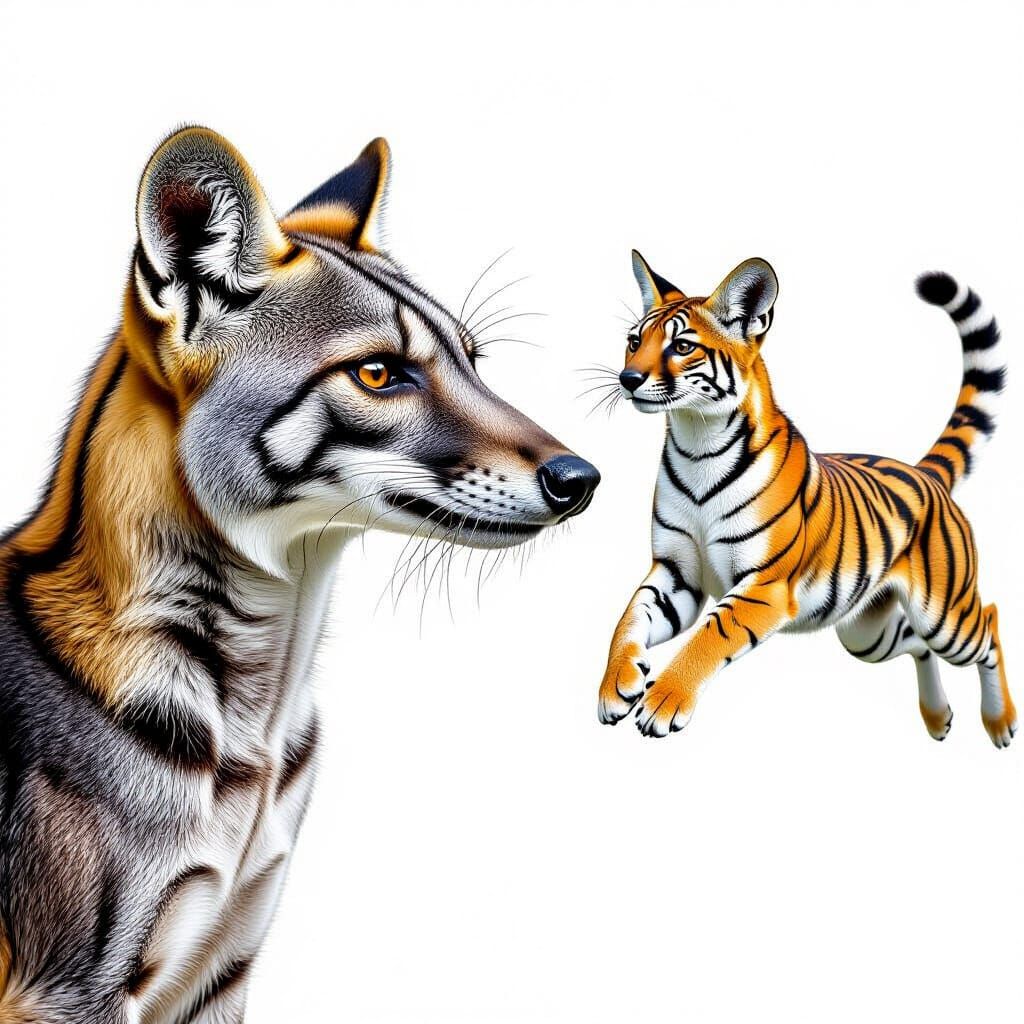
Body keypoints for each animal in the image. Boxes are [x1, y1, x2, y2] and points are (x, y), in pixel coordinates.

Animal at [0, 127, 599, 1023]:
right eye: (379, 373)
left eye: (473, 360)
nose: (581, 479)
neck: (256, 727)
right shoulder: (71, 990)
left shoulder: (223, 964)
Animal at [597, 251, 1015, 748]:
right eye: (633, 341)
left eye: (681, 347)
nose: (628, 377)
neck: (695, 441)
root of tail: (924, 472)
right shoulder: (676, 574)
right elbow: (629, 619)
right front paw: (615, 685)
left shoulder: (764, 586)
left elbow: (711, 635)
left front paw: (665, 700)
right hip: (868, 634)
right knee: (917, 644)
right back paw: (937, 717)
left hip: (945, 615)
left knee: (990, 625)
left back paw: (1000, 722)